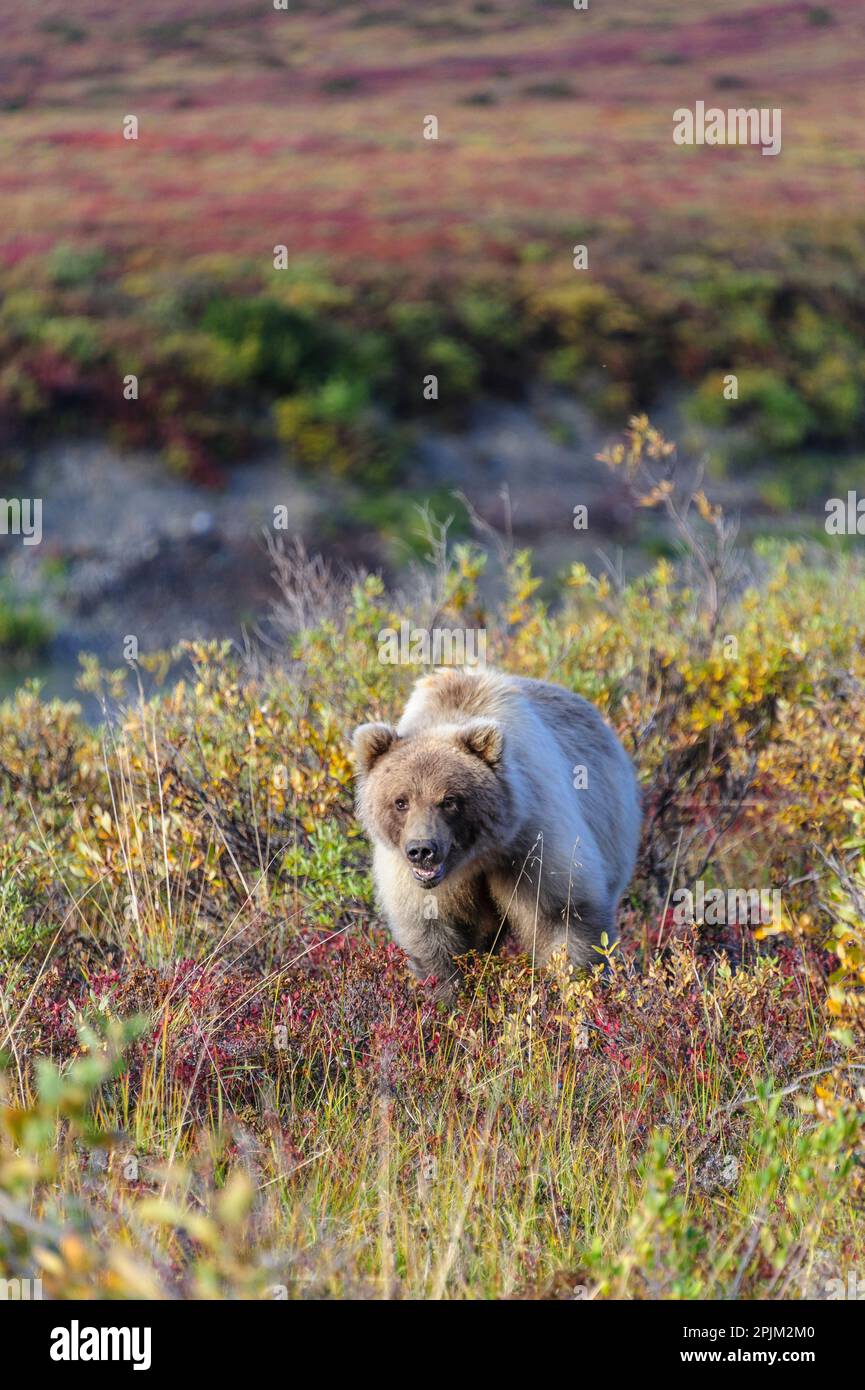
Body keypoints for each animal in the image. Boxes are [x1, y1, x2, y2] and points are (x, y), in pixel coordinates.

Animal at [353, 664, 645, 1000]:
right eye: (401, 801)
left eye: (449, 800)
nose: (422, 849)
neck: (477, 858)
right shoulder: (414, 882)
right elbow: (433, 940)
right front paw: (448, 997)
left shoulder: (532, 845)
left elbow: (565, 916)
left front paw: (577, 987)